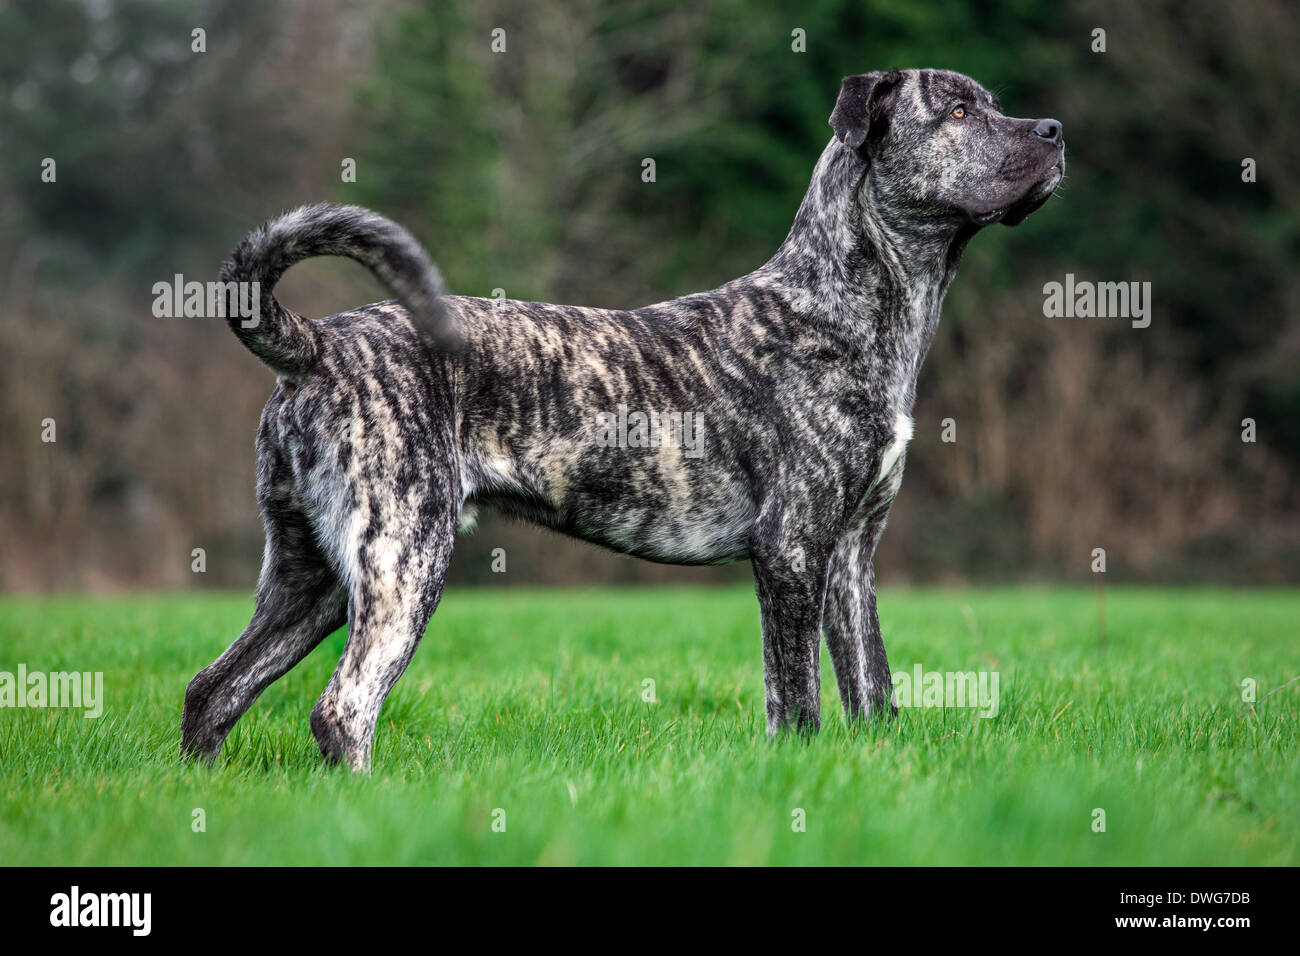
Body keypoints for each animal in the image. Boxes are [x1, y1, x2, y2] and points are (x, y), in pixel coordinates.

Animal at [178, 67, 1060, 770]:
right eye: (956, 111)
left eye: (992, 103)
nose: (1053, 131)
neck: (837, 303)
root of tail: (318, 343)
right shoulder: (792, 550)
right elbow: (796, 699)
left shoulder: (851, 555)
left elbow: (871, 688)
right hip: (402, 559)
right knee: (344, 709)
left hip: (314, 578)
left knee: (213, 689)